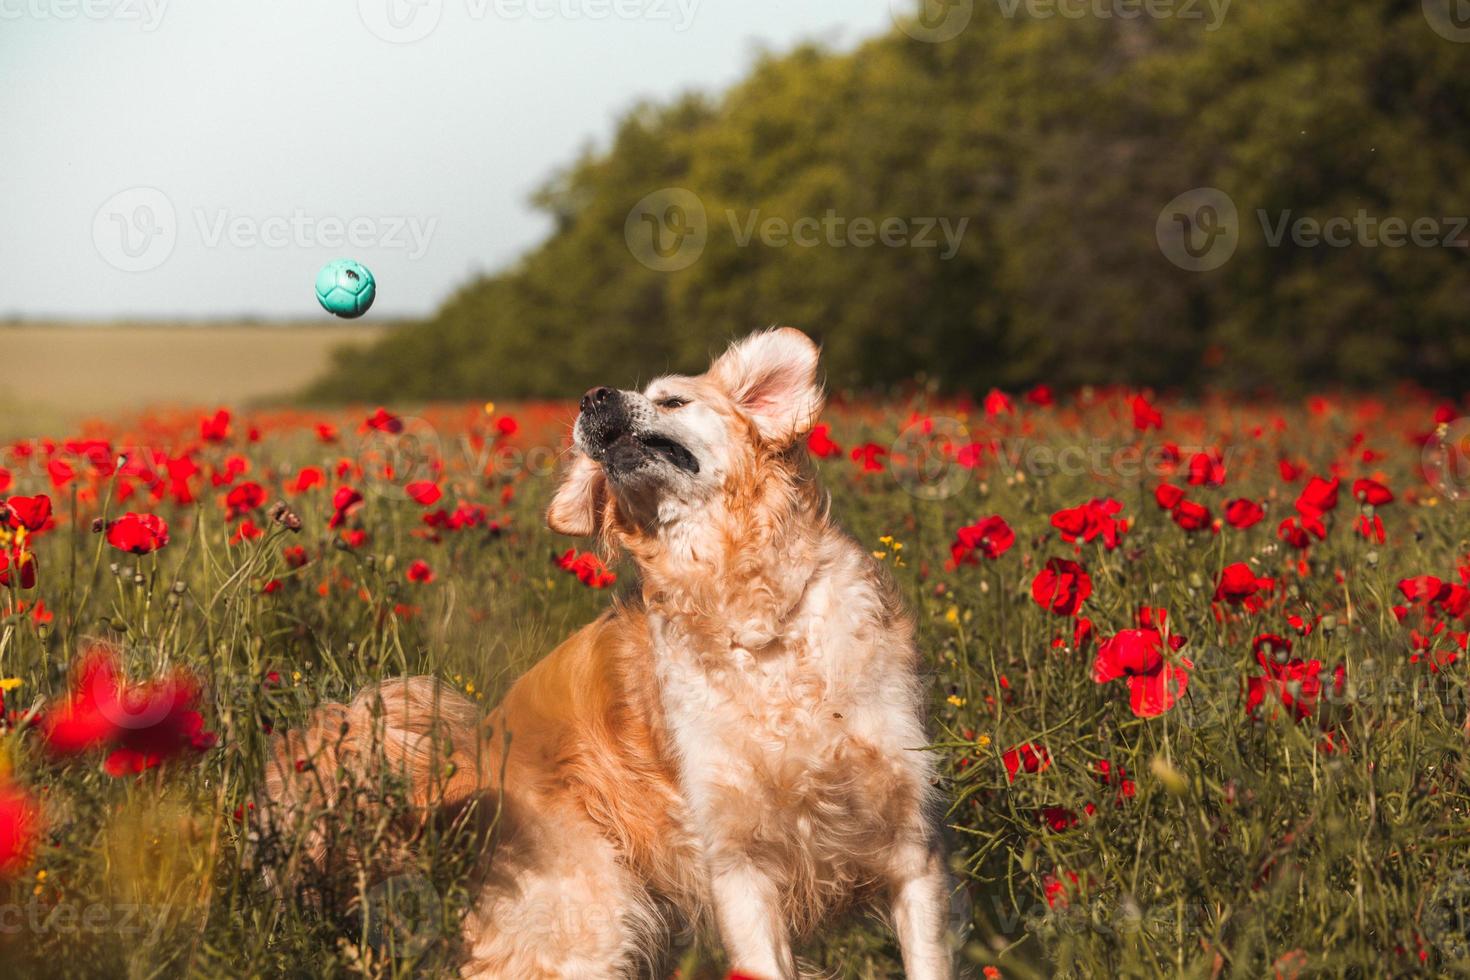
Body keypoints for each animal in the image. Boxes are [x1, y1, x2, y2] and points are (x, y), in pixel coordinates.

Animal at [261, 332, 952, 980]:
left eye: (673, 400)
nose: (593, 396)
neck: (747, 612)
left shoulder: (913, 847)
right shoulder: (738, 865)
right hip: (586, 915)